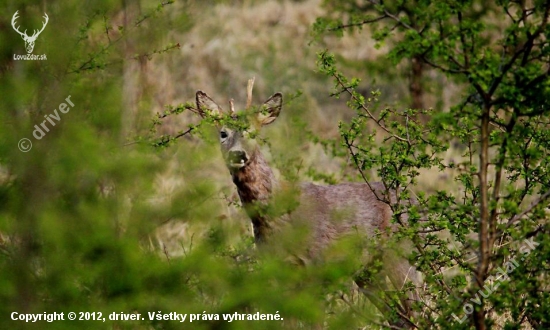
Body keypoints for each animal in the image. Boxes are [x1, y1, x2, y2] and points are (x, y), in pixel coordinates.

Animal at [196, 83, 420, 328]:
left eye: (253, 132)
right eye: (223, 133)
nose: (238, 154)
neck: (275, 219)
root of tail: (413, 200)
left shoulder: (316, 263)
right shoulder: (278, 268)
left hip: (401, 252)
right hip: (369, 270)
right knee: (399, 317)